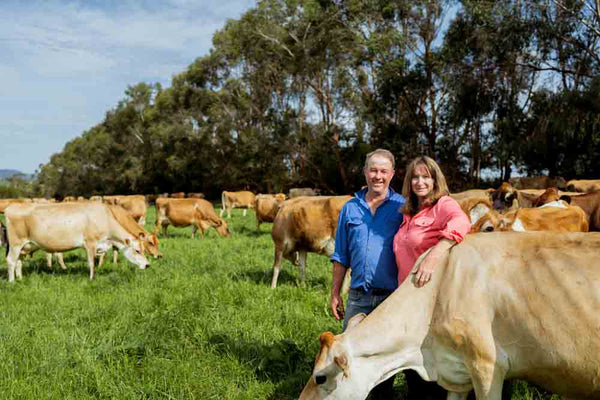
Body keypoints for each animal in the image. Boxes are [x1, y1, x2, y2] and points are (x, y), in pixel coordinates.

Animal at [4, 203, 157, 282]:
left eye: (144, 250)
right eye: (137, 250)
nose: (148, 265)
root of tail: (10, 208)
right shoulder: (90, 243)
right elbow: (91, 263)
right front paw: (91, 278)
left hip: (24, 245)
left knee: (19, 262)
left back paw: (20, 278)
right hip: (15, 244)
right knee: (11, 260)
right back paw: (12, 281)